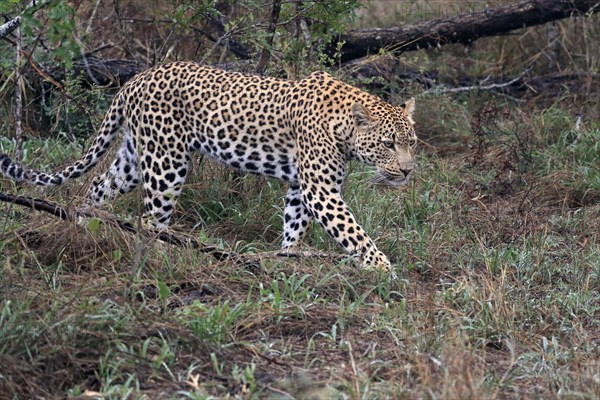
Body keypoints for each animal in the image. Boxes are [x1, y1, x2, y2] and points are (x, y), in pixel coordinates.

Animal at [0, 61, 414, 270]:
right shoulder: (320, 190)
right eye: (388, 144)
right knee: (151, 219)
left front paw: (287, 257)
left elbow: (294, 225)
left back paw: (83, 230)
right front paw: (383, 268)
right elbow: (354, 232)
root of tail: (135, 78)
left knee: (97, 186)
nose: (408, 171)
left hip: (133, 158)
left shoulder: (302, 187)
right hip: (166, 163)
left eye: (411, 143)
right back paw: (164, 254)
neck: (344, 126)